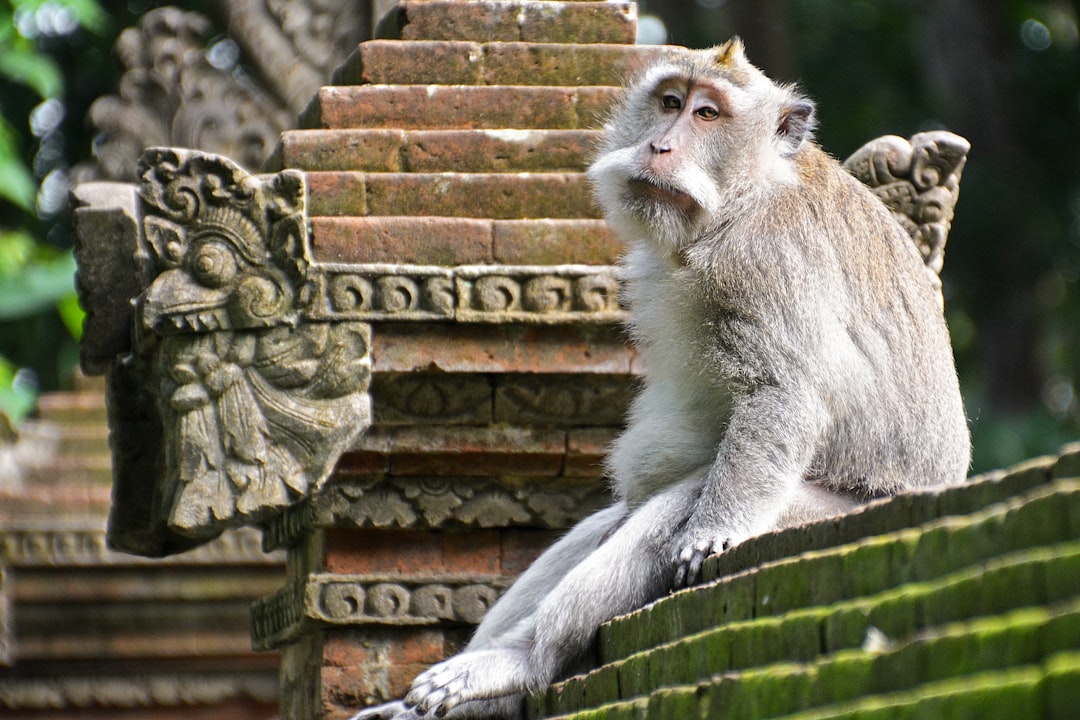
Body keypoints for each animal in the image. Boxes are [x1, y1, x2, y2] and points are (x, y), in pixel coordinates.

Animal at [354, 40, 972, 720]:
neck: (743, 195)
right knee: (606, 524)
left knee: (670, 512)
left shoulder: (764, 257)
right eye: (671, 102)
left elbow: (783, 393)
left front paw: (711, 532)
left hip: (813, 510)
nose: (660, 146)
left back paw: (519, 663)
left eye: (707, 114)